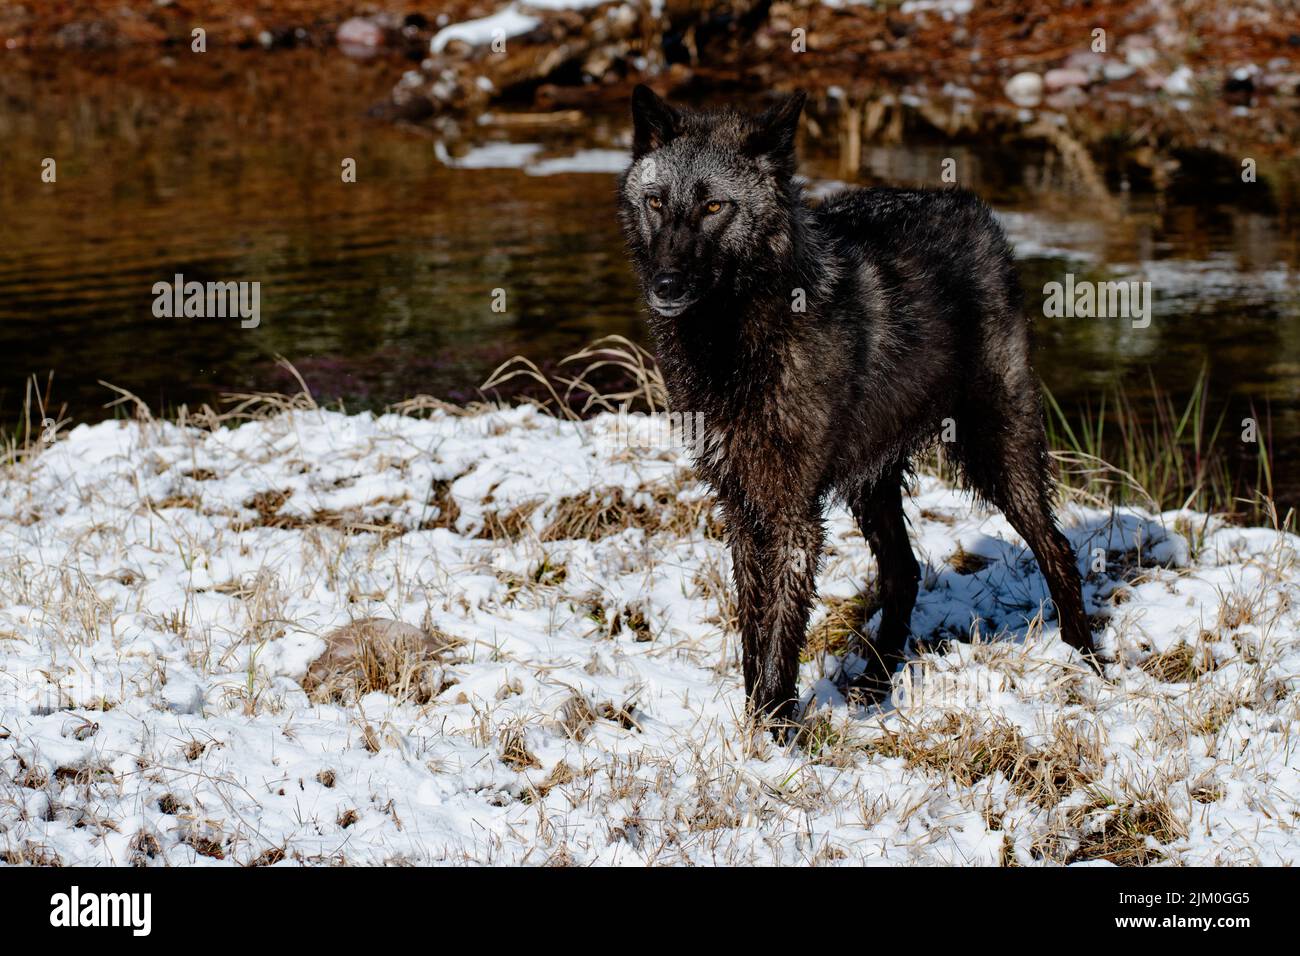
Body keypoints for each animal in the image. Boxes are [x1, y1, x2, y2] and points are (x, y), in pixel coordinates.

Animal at [616, 89, 1097, 728]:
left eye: (714, 205)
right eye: (656, 202)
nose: (666, 286)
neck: (736, 341)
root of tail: (971, 207)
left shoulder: (795, 514)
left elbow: (779, 633)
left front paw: (774, 729)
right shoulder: (740, 502)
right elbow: (753, 628)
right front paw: (755, 723)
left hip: (997, 454)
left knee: (1056, 547)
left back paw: (1087, 663)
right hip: (873, 483)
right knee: (904, 572)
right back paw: (875, 682)